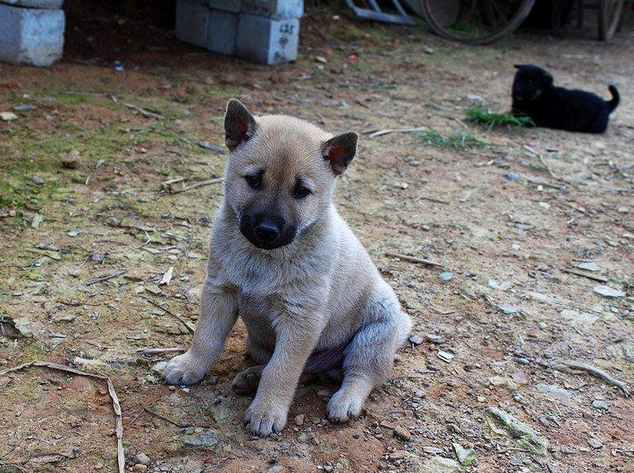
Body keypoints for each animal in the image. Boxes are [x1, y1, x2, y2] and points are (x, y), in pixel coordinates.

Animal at [163, 98, 410, 436]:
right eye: (254, 180)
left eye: (301, 191)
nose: (267, 230)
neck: (262, 258)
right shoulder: (219, 293)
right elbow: (206, 338)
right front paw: (190, 366)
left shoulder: (300, 320)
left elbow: (282, 371)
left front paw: (267, 411)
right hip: (260, 344)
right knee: (297, 369)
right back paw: (251, 377)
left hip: (375, 331)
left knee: (359, 374)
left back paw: (345, 401)